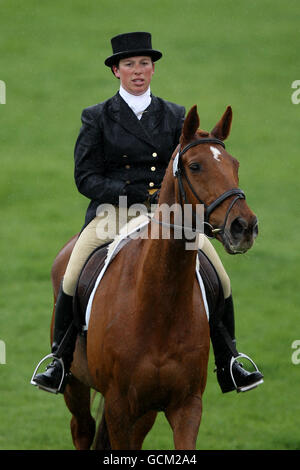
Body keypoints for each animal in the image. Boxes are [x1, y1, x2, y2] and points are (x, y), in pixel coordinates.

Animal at [49, 104, 258, 450]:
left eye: (235, 164)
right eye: (195, 166)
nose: (244, 227)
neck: (160, 304)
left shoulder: (186, 404)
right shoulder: (120, 406)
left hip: (145, 410)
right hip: (75, 383)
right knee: (82, 428)